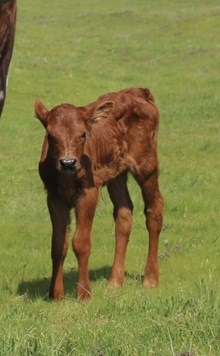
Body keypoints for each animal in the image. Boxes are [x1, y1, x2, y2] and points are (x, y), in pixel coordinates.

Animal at [34, 87, 163, 300]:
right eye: (51, 136)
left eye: (83, 134)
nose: (68, 162)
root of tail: (137, 92)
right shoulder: (53, 196)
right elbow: (58, 244)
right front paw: (56, 296)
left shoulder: (89, 192)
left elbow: (81, 242)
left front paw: (84, 294)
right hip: (116, 173)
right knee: (124, 213)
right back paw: (115, 281)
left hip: (146, 164)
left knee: (154, 210)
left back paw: (151, 278)